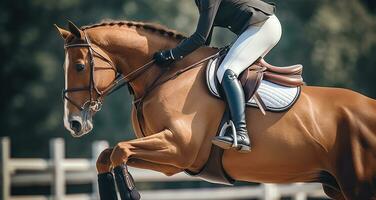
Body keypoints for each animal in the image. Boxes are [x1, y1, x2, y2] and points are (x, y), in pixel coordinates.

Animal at [55, 20, 376, 200]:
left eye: (80, 66)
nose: (73, 123)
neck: (165, 73)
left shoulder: (178, 146)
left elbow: (119, 151)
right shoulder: (173, 160)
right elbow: (106, 156)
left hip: (358, 185)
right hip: (337, 186)